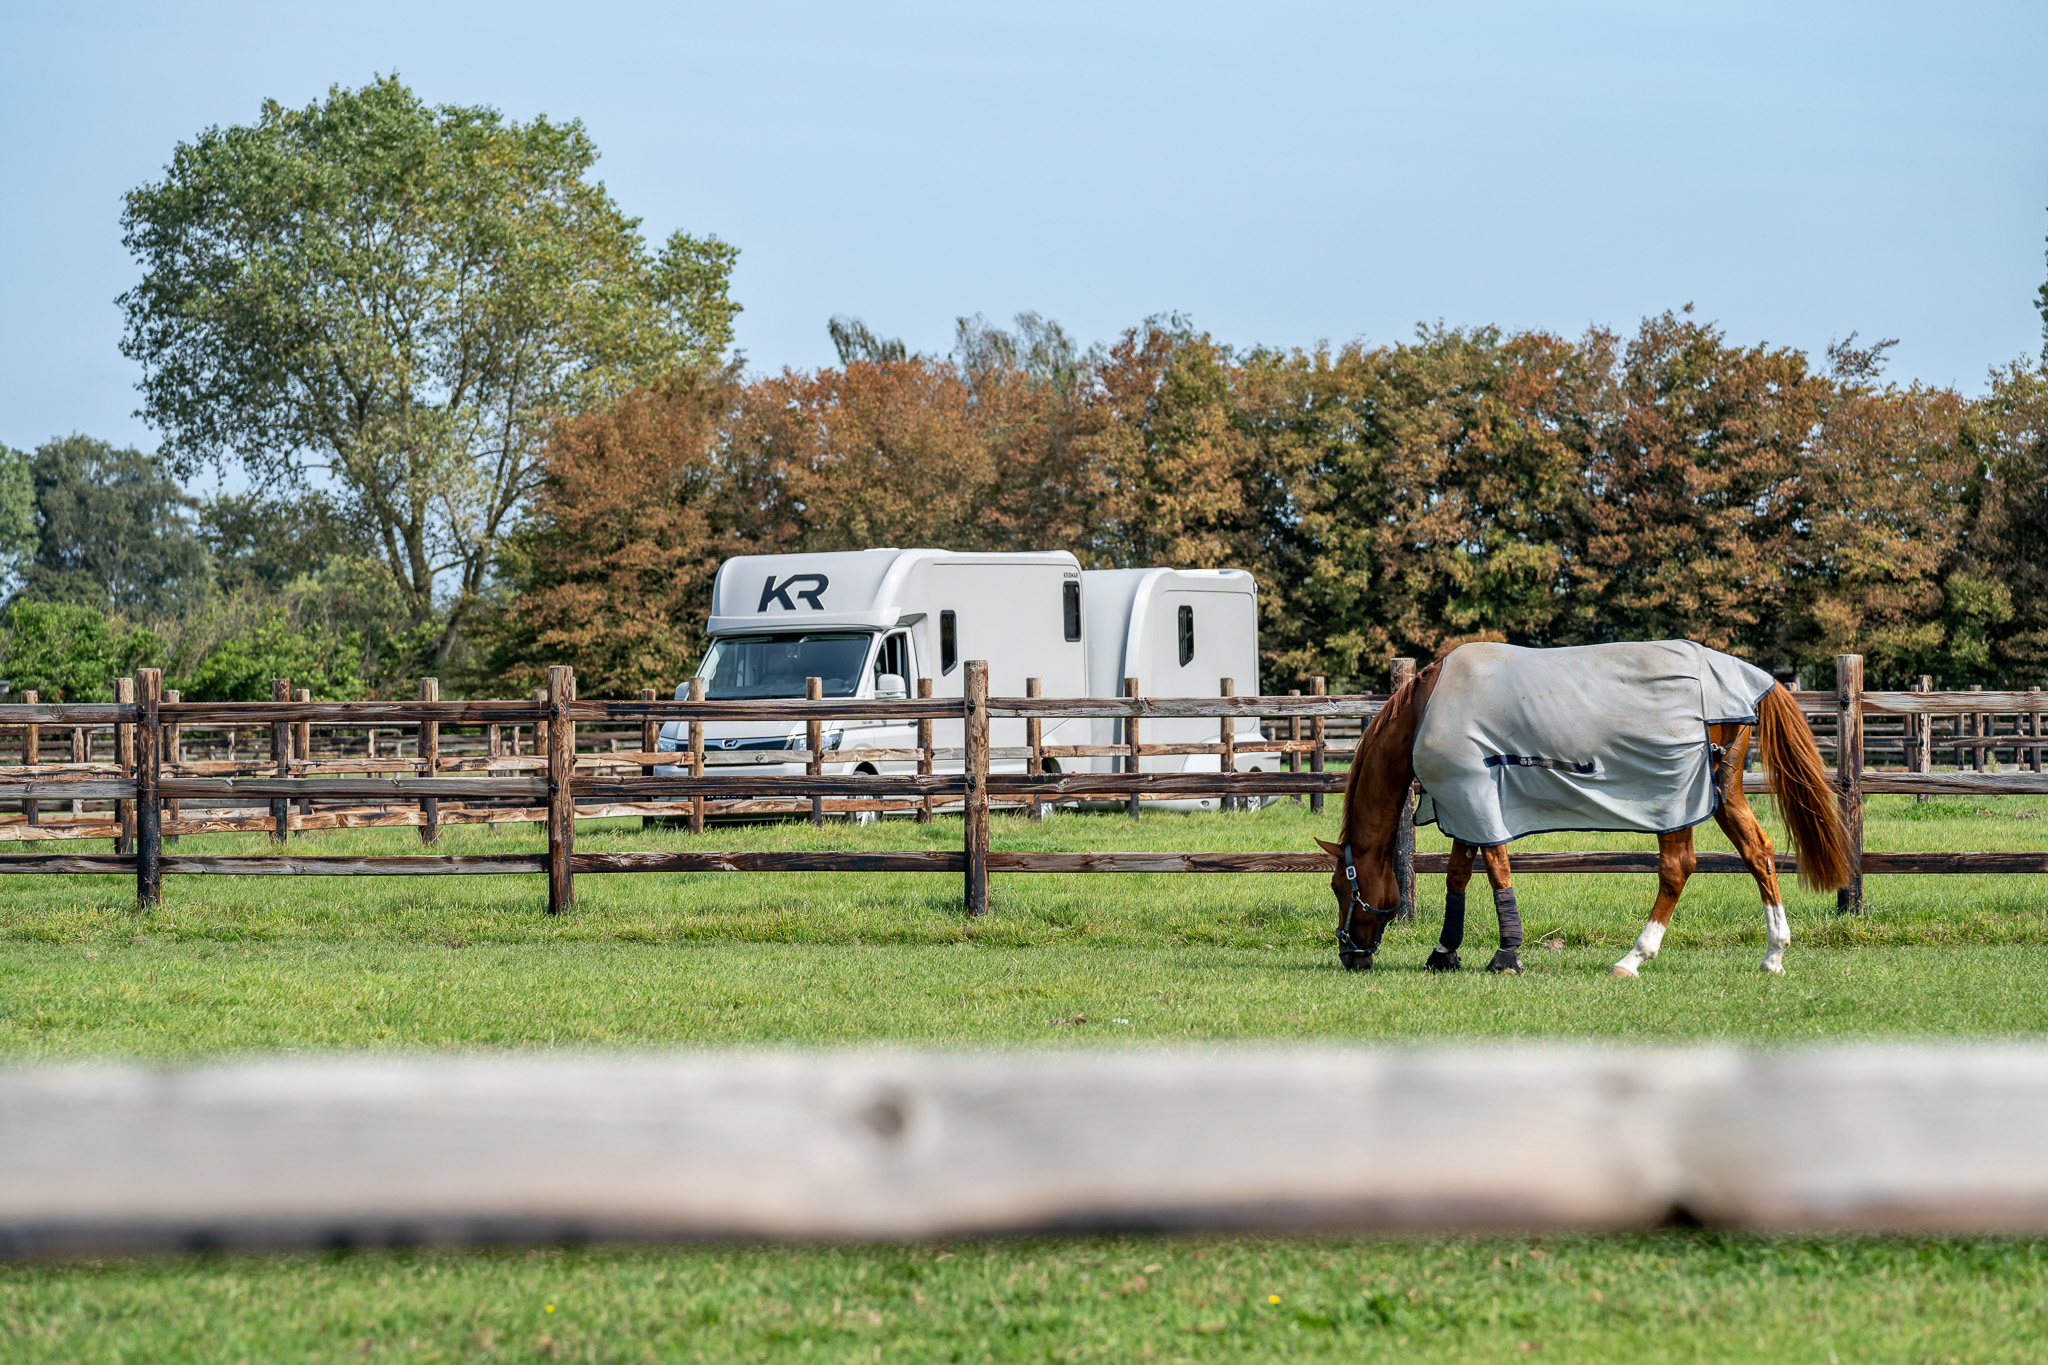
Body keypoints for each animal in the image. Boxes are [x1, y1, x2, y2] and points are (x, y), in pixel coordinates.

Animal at [1318, 642, 1851, 978]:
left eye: (1341, 887)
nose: (1350, 955)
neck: (1424, 711)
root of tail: (1747, 680)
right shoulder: (1464, 803)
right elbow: (1458, 874)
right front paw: (1445, 952)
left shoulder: (1474, 793)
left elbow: (1495, 870)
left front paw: (1507, 956)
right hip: (1722, 788)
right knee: (1758, 852)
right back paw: (1773, 955)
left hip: (1674, 797)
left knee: (1678, 867)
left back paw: (1633, 959)